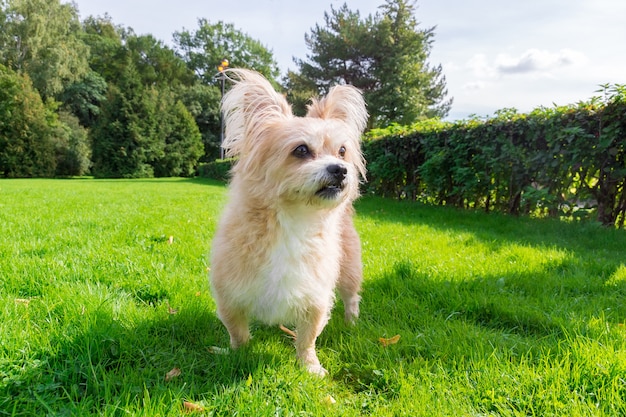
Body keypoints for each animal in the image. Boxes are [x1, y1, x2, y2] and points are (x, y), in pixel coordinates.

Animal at [210, 68, 366, 374]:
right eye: (301, 150)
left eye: (342, 151)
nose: (341, 170)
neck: (294, 219)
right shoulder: (229, 294)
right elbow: (237, 331)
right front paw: (236, 353)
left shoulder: (315, 296)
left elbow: (308, 337)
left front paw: (310, 367)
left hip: (350, 269)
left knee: (351, 297)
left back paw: (352, 321)